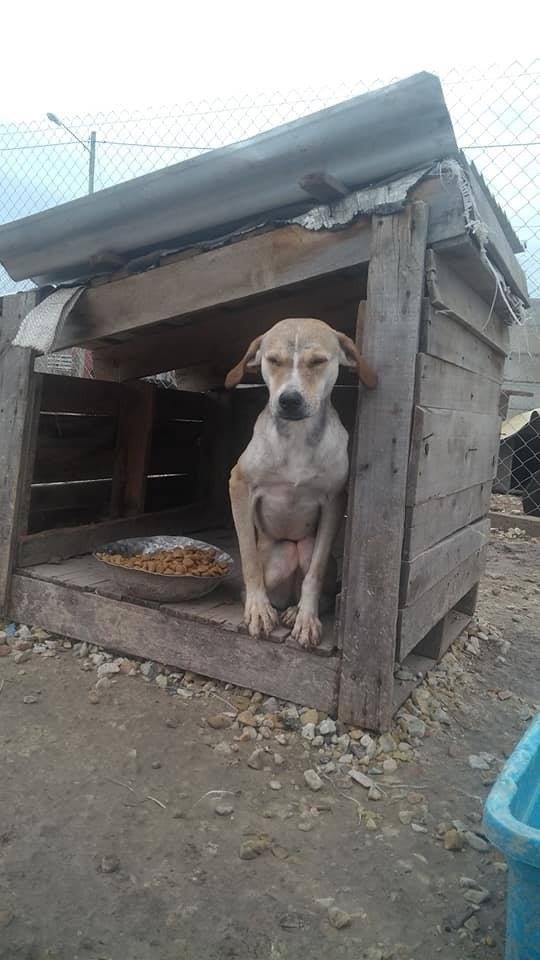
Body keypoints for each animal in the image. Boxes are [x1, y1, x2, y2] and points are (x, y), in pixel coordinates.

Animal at [224, 318, 376, 648]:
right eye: (273, 360)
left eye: (318, 361)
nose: (289, 400)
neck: (296, 437)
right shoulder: (239, 485)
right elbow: (249, 557)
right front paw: (257, 609)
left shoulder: (334, 501)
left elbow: (314, 574)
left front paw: (307, 618)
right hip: (279, 556)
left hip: (304, 547)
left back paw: (295, 611)